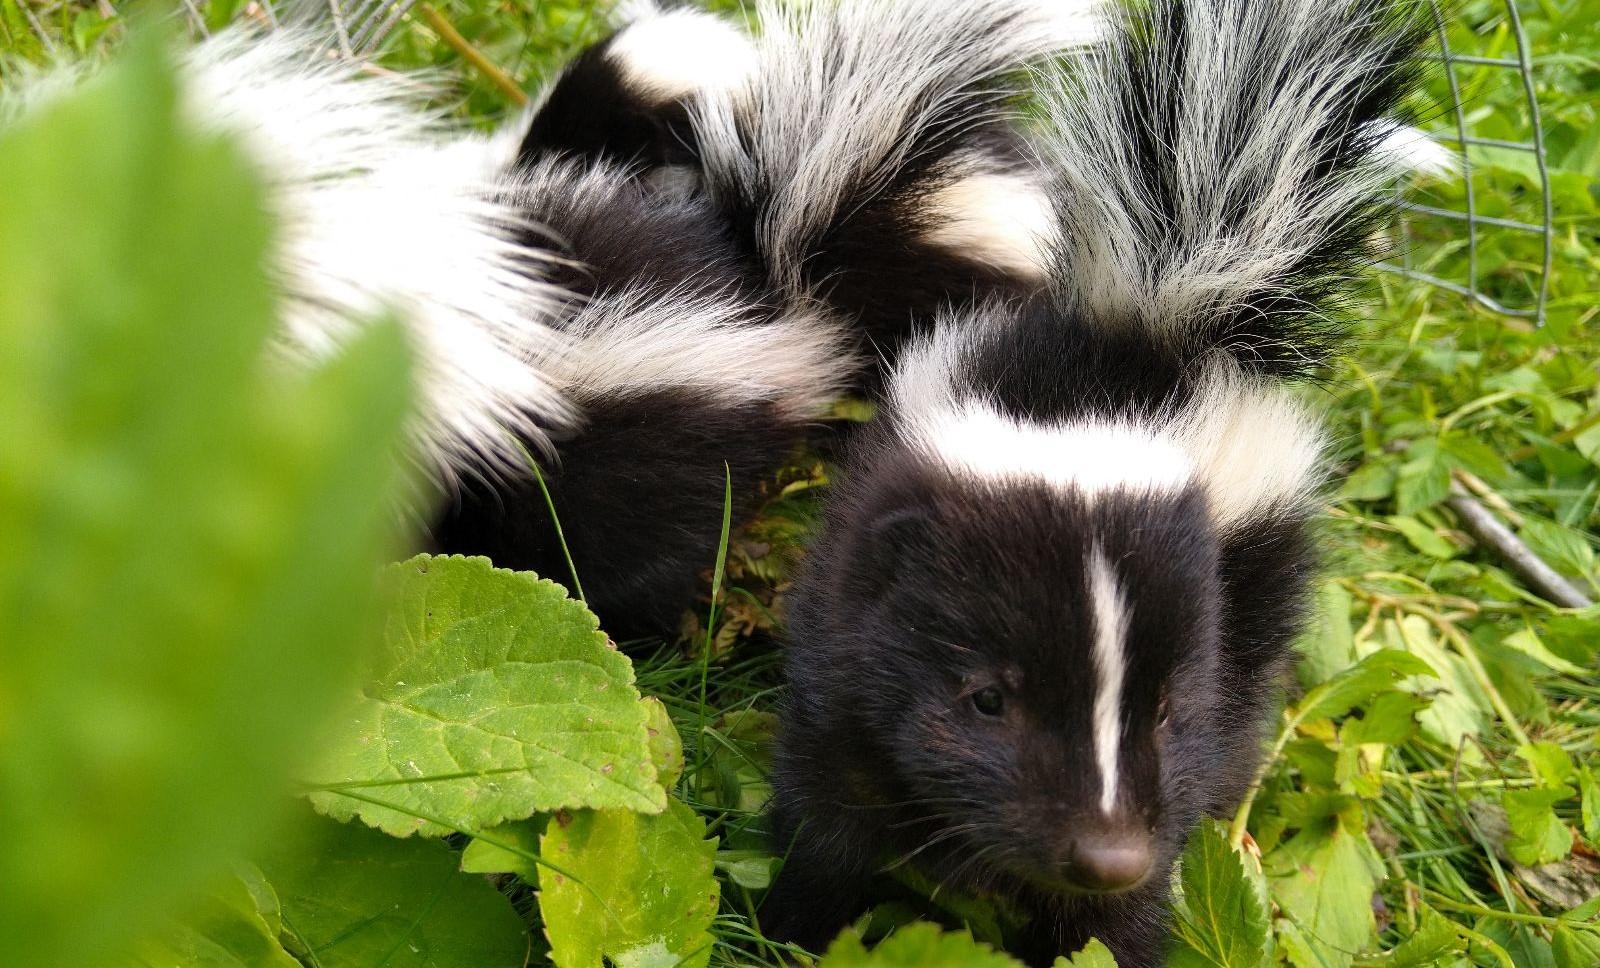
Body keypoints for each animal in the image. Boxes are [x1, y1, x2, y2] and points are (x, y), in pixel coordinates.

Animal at [761, 1, 1440, 960]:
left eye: (1166, 710)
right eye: (987, 700)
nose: (1106, 852)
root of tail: (1149, 323)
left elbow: (1125, 907)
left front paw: (1104, 929)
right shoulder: (848, 629)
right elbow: (833, 801)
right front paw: (795, 925)